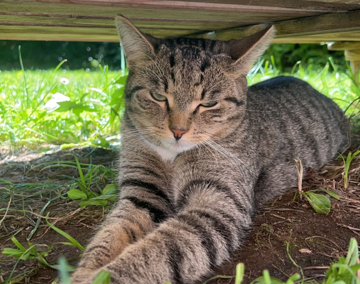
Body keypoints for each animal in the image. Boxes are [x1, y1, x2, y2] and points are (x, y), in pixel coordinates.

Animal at [71, 15, 350, 284]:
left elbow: (159, 250)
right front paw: (86, 270)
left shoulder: (218, 204)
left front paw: (103, 276)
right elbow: (110, 235)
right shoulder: (141, 192)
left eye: (208, 104)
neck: (173, 157)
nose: (178, 131)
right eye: (158, 97)